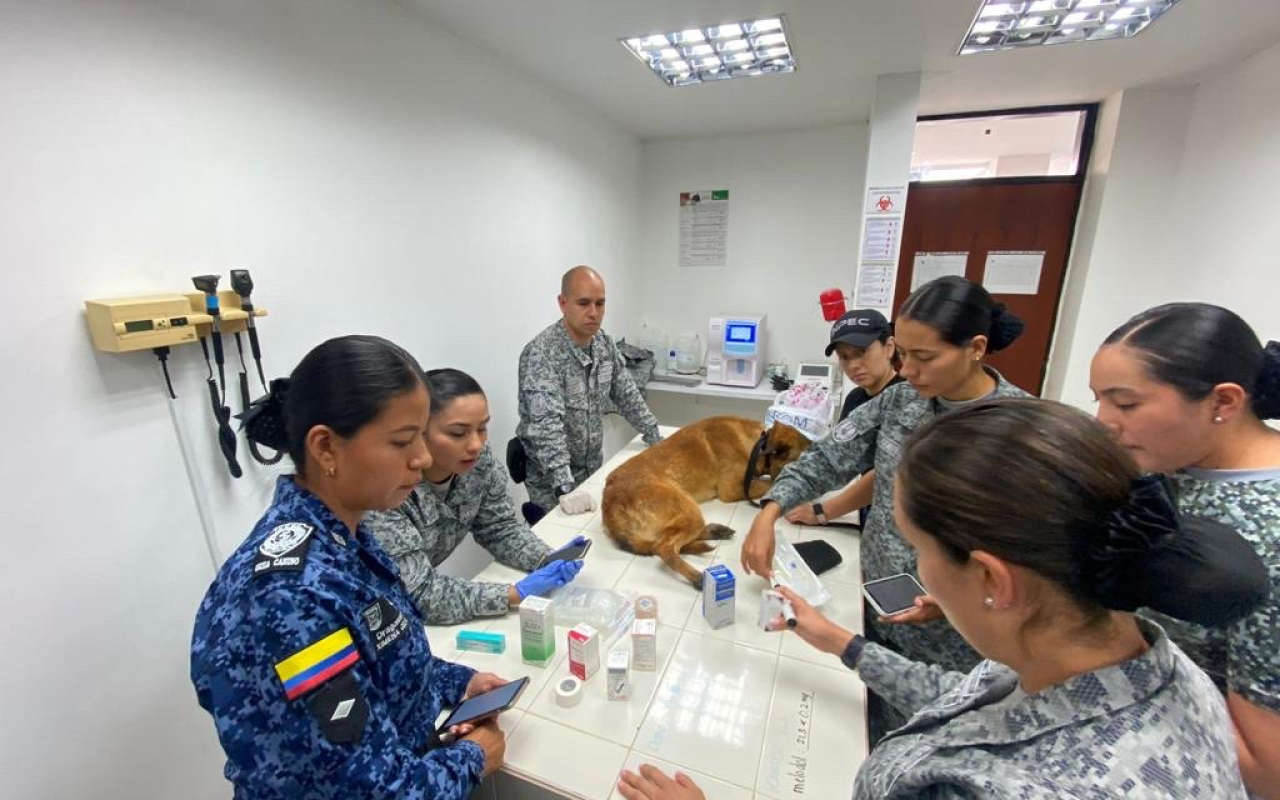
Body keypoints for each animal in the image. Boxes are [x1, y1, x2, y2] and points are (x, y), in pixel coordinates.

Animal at [601, 417, 808, 586]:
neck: (759, 445)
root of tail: (609, 501)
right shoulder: (733, 489)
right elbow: (771, 482)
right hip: (688, 507)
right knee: (663, 547)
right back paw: (696, 577)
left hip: (685, 513)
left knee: (667, 541)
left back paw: (716, 531)